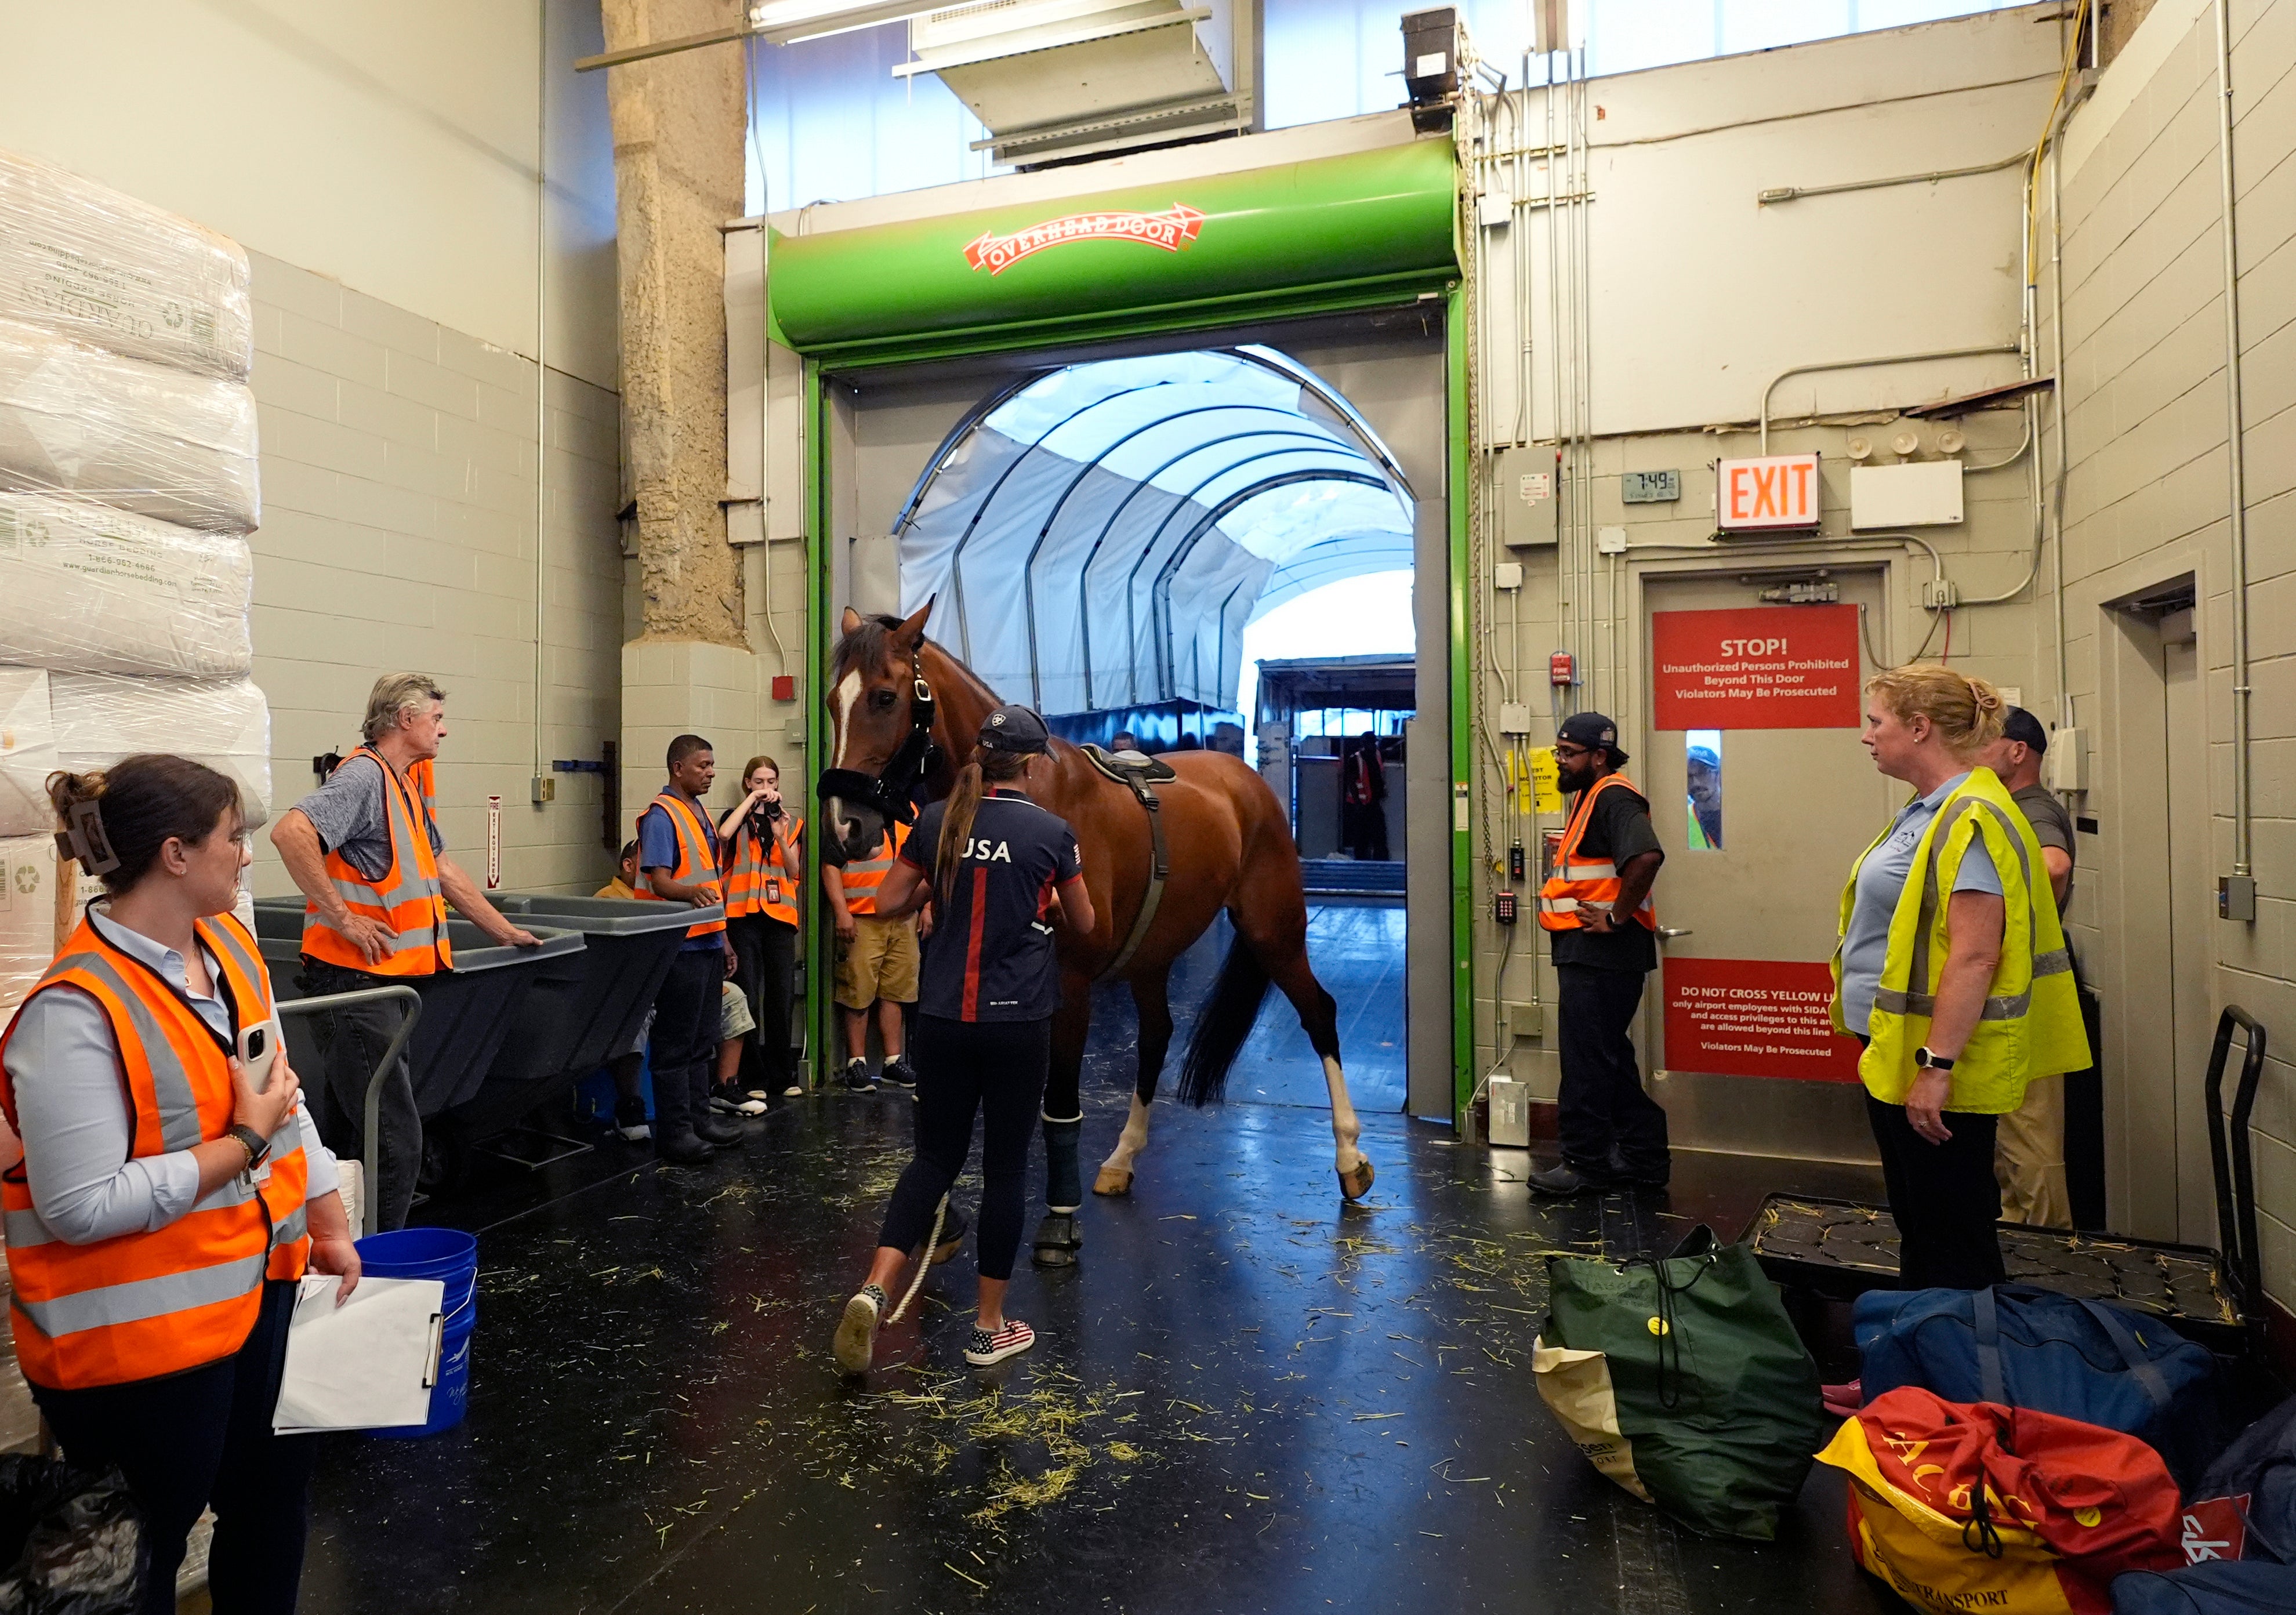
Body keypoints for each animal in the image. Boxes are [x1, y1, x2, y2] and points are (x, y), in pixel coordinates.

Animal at [817, 606, 1368, 1268]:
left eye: (885, 696)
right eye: (832, 701)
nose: (845, 828)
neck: (1013, 797)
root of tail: (1245, 780)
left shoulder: (1070, 988)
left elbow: (1058, 1106)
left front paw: (1058, 1224)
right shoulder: (945, 988)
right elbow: (939, 1102)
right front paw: (940, 1222)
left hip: (1273, 931)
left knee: (1319, 1014)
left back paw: (1350, 1158)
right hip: (1152, 957)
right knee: (1156, 1036)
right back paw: (1122, 1158)